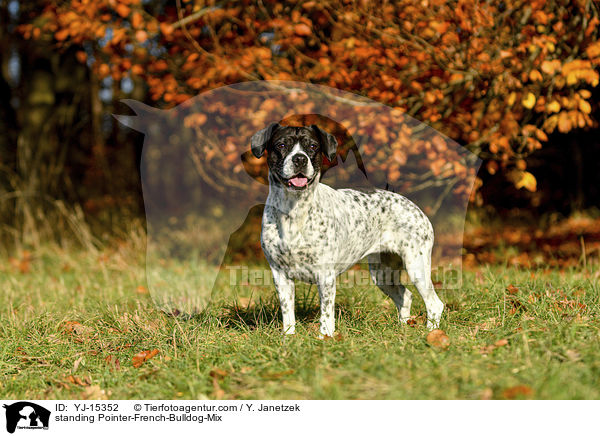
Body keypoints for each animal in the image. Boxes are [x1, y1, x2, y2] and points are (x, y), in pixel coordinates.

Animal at [251, 122, 442, 338]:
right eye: (281, 145)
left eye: (313, 146)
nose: (300, 159)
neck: (294, 213)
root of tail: (417, 210)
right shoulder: (280, 275)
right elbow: (287, 313)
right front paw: (289, 337)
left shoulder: (325, 275)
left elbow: (326, 314)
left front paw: (325, 338)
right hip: (382, 273)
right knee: (405, 296)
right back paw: (404, 327)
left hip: (416, 266)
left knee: (434, 304)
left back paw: (432, 333)